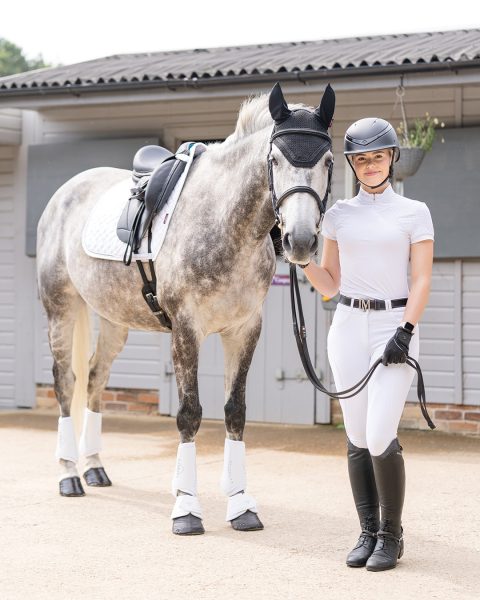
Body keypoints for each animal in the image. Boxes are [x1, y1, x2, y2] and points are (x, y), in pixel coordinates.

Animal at [36, 81, 334, 536]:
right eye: (275, 159)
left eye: (329, 160)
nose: (300, 241)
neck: (226, 223)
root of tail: (65, 193)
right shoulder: (186, 331)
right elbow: (190, 415)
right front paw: (186, 509)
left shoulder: (244, 330)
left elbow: (235, 412)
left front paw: (240, 505)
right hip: (61, 308)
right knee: (66, 381)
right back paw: (69, 474)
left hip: (113, 321)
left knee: (95, 379)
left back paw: (94, 468)